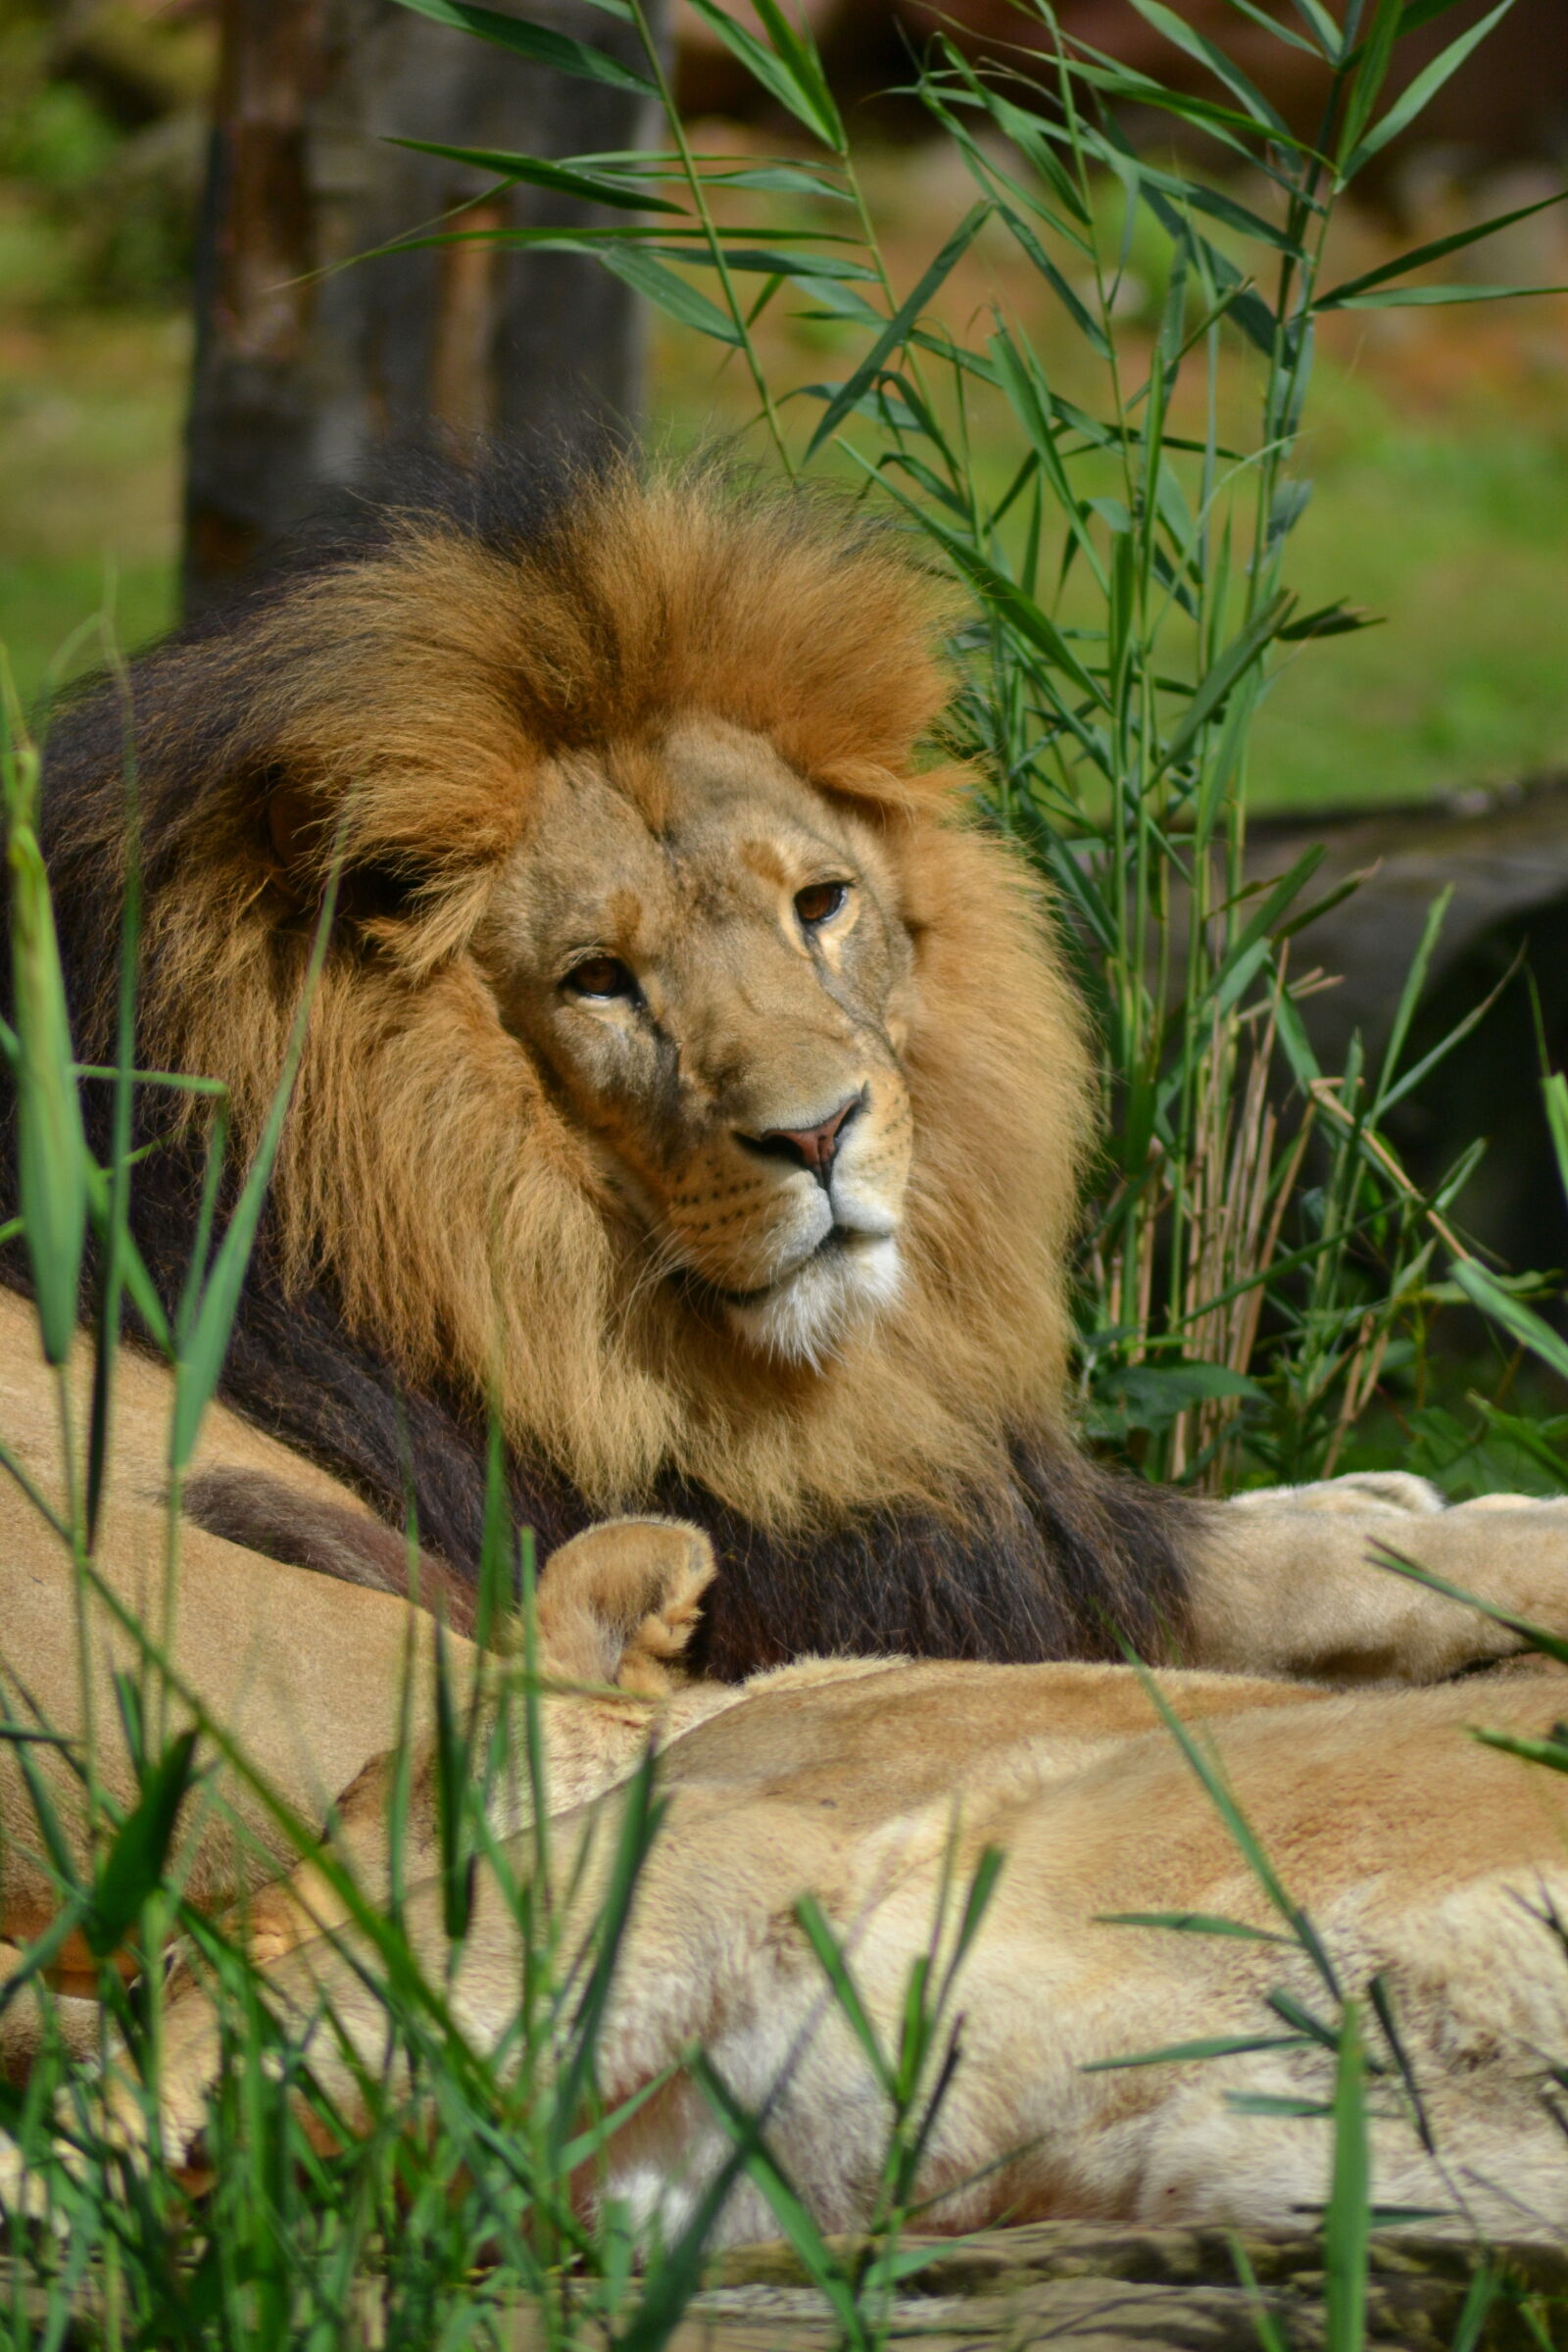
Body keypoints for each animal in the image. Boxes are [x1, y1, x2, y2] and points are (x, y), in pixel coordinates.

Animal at [8, 452, 1568, 1684]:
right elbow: (1291, 1567)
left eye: (818, 904)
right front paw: (1490, 1543)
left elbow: (1287, 1515)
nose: (820, 1135)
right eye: (597, 981)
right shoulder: (869, 1577)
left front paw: (1401, 1490)